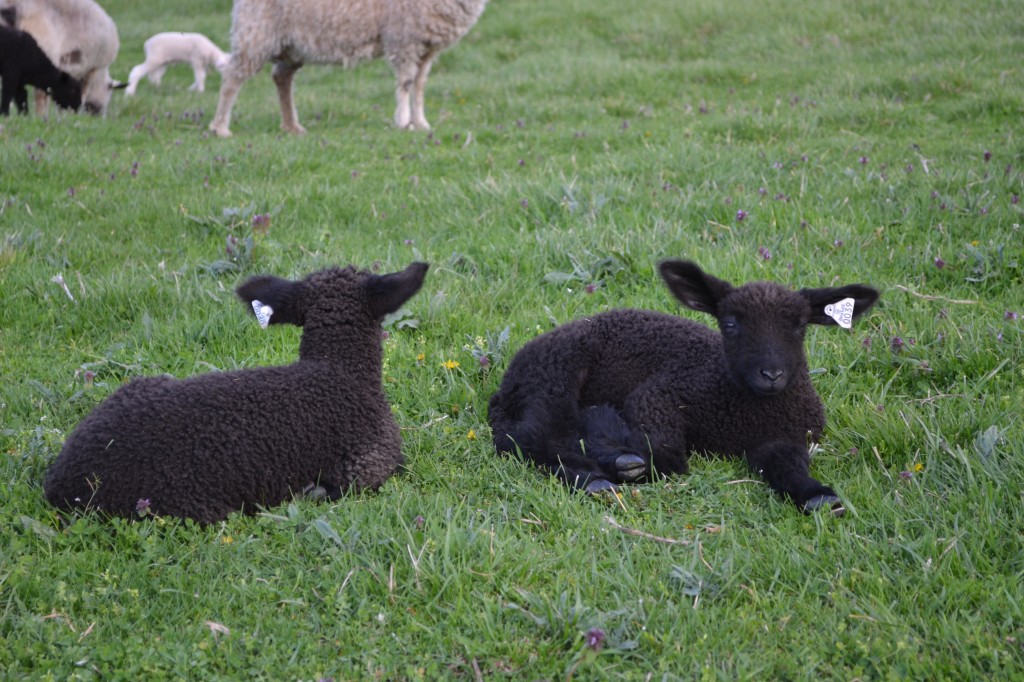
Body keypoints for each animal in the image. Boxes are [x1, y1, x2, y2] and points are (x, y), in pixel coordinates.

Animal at [207, 0, 487, 137]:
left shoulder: (426, 47)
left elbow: (419, 87)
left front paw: (422, 124)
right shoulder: (403, 39)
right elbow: (406, 84)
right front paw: (404, 122)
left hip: (292, 43)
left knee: (281, 78)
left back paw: (292, 126)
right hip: (257, 30)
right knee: (232, 76)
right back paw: (220, 128)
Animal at [489, 260, 880, 516]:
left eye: (800, 326)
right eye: (730, 324)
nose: (772, 373)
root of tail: (508, 381)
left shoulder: (787, 436)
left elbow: (787, 465)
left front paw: (818, 497)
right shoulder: (657, 397)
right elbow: (667, 457)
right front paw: (612, 446)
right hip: (556, 376)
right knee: (529, 437)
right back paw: (596, 477)